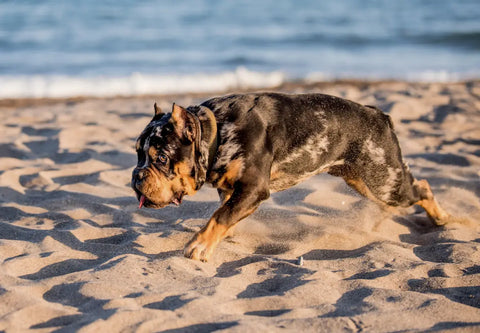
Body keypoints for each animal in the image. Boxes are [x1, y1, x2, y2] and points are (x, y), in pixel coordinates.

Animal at [130, 92, 450, 260]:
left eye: (161, 158)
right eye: (137, 154)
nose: (136, 176)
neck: (215, 134)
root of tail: (379, 115)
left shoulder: (254, 188)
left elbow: (220, 216)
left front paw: (200, 245)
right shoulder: (233, 190)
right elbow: (225, 212)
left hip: (383, 183)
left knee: (421, 187)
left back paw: (442, 218)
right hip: (363, 180)